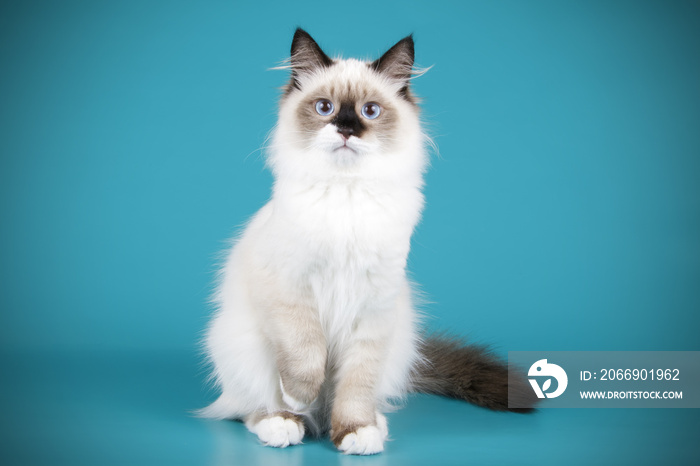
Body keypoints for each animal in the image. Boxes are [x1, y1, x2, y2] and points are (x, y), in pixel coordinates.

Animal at [201, 28, 536, 456]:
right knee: (248, 407)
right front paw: (299, 397)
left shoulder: (374, 308)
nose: (346, 130)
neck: (348, 194)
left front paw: (355, 431)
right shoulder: (291, 291)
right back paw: (286, 422)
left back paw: (369, 424)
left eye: (370, 111)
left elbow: (356, 383)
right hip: (239, 343)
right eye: (325, 108)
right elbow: (306, 355)